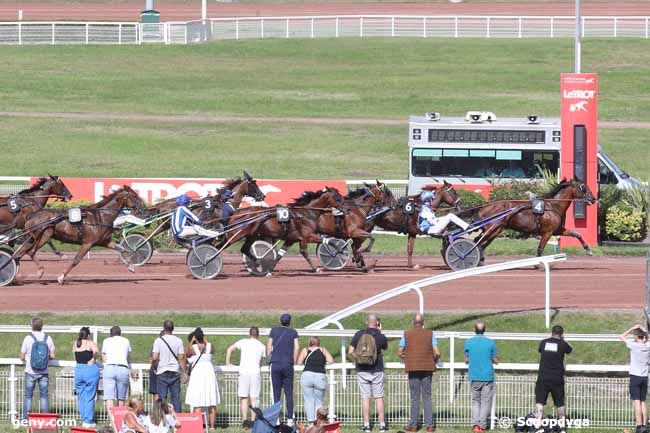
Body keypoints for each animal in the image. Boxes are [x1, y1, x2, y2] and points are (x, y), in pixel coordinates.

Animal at [13, 186, 147, 284]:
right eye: (134, 196)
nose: (144, 208)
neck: (100, 217)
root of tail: (32, 215)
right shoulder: (88, 243)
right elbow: (76, 260)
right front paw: (61, 277)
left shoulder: (104, 241)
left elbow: (122, 249)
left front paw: (131, 266)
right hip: (44, 235)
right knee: (31, 251)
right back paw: (40, 271)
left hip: (33, 237)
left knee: (21, 252)